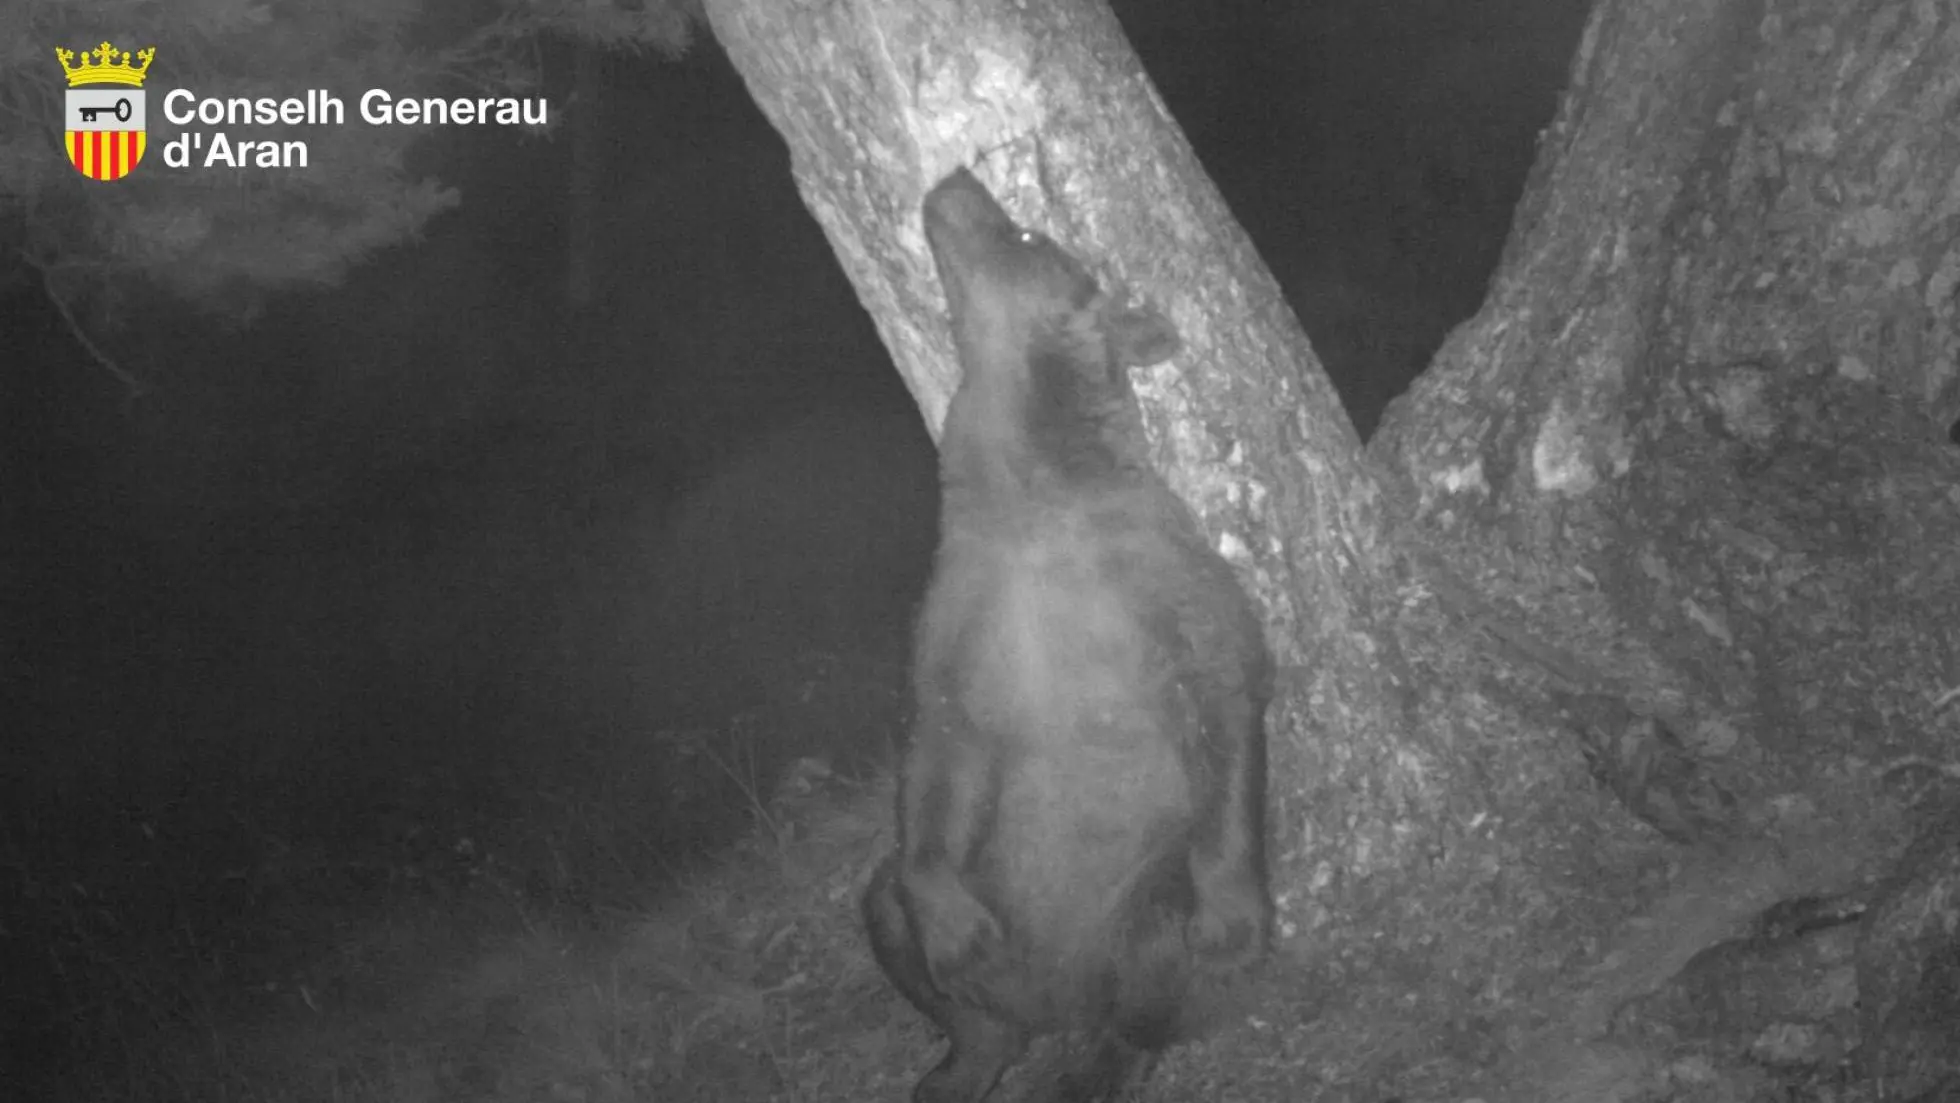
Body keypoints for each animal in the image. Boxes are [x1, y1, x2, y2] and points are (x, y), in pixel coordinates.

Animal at [866, 168, 1277, 1103]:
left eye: (1026, 235)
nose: (956, 177)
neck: (1033, 505)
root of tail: (1057, 999)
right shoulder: (957, 601)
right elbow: (934, 736)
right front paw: (949, 926)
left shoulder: (1163, 571)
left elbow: (1229, 682)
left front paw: (1237, 915)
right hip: (987, 922)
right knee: (894, 913)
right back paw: (964, 1055)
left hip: (1141, 894)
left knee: (1152, 967)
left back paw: (1097, 1059)